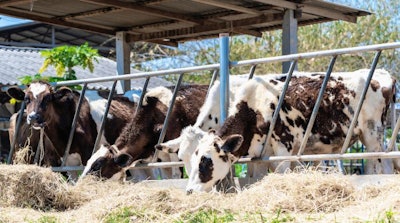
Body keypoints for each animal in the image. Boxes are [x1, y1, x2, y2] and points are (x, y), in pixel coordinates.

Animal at [83, 84, 211, 181]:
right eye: (88, 162)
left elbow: (176, 176)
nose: (81, 183)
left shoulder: (175, 152)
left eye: (97, 165)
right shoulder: (161, 156)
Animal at [183, 69, 396, 193]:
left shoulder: (283, 147)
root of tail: (384, 75)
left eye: (205, 161)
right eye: (189, 159)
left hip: (373, 135)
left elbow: (282, 174)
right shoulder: (260, 154)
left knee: (385, 166)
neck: (254, 108)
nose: (189, 190)